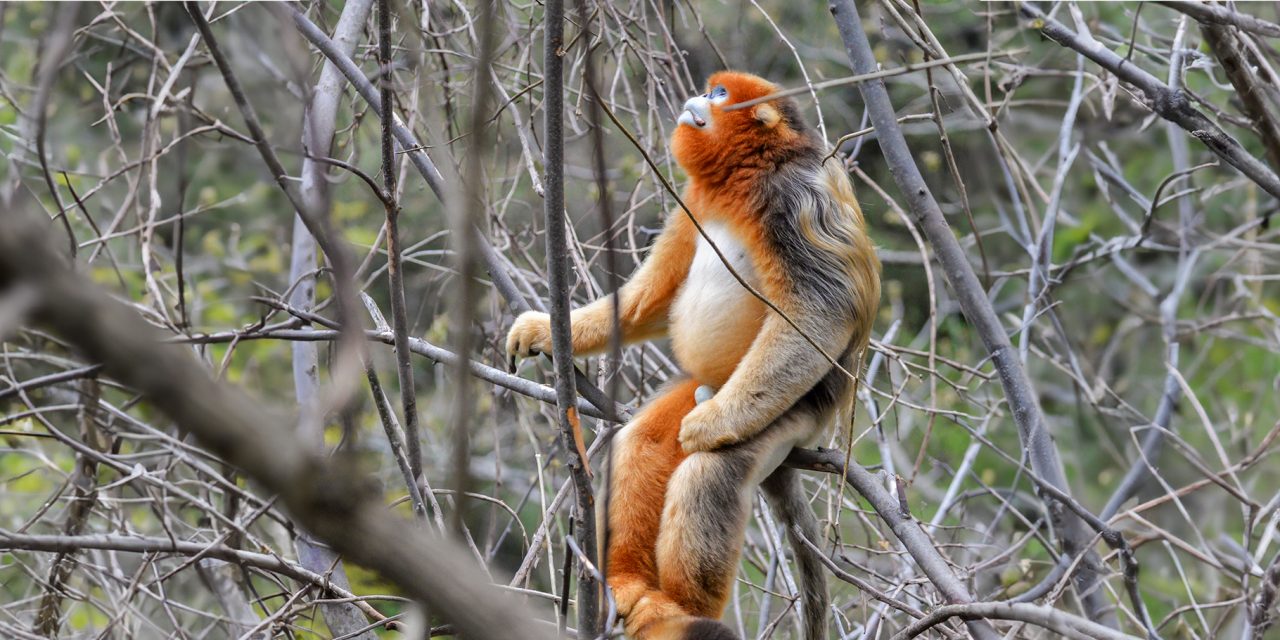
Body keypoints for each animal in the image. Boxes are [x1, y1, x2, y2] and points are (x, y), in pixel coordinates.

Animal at [506, 71, 880, 640]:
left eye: (720, 95)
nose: (701, 97)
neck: (748, 174)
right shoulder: (694, 202)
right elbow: (654, 297)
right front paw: (547, 330)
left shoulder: (796, 197)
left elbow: (822, 309)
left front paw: (711, 426)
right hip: (704, 387)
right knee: (643, 442)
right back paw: (630, 584)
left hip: (792, 412)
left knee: (708, 475)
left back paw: (681, 611)